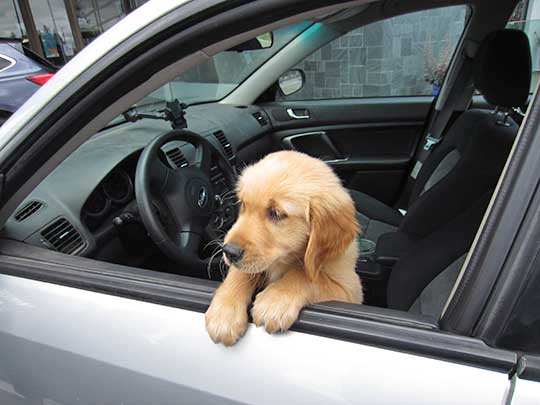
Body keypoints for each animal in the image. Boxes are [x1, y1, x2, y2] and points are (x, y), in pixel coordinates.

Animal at [206, 150, 362, 346]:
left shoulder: (349, 290)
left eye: (276, 213)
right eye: (243, 204)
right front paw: (224, 312)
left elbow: (307, 276)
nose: (229, 251)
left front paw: (275, 300)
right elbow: (241, 273)